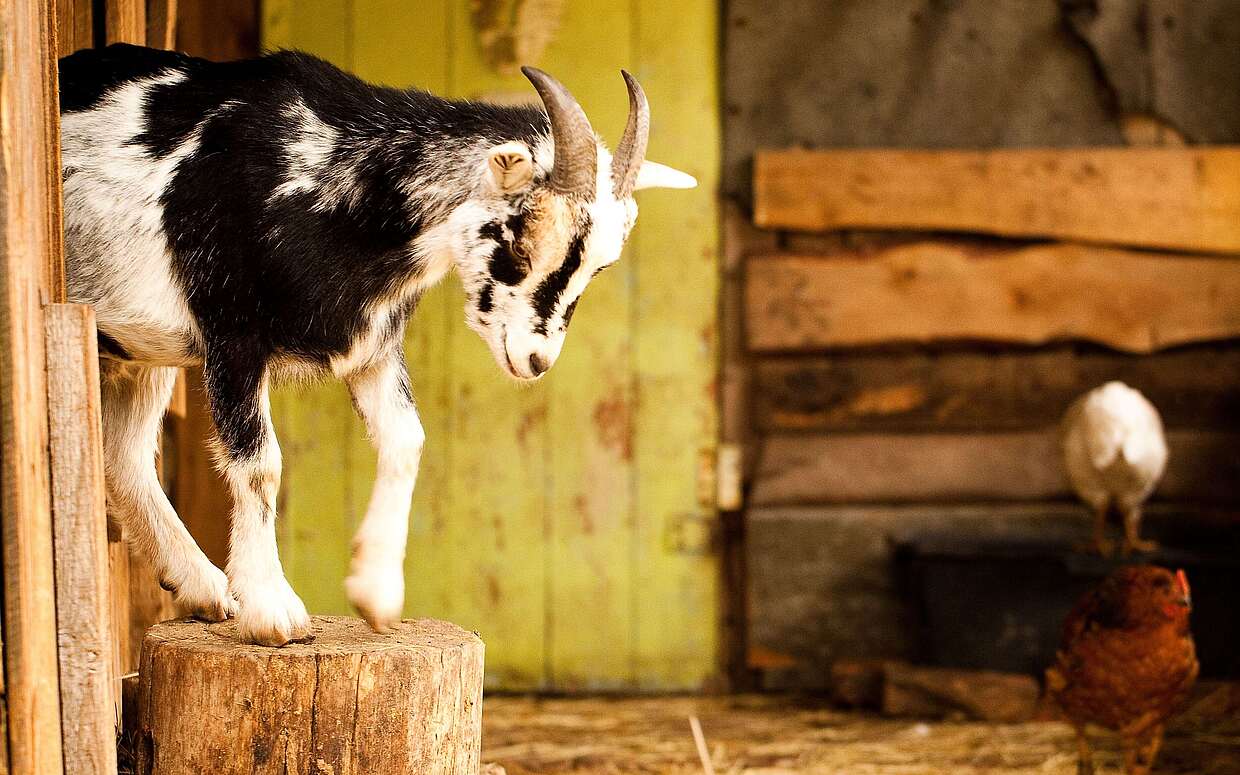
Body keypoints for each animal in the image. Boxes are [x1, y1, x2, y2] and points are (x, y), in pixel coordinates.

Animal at [58, 43, 695, 646]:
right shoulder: (232, 332)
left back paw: (204, 588)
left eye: (598, 268)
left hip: (144, 351)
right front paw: (273, 612)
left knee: (124, 455)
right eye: (520, 244)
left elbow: (407, 441)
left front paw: (376, 594)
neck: (329, 176)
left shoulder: (374, 346)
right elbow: (260, 464)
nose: (536, 360)